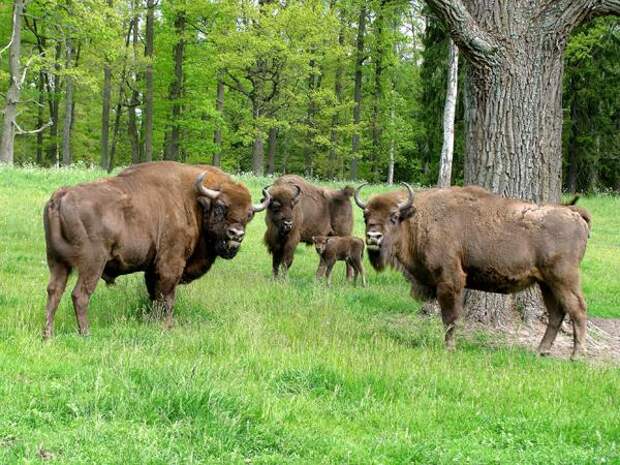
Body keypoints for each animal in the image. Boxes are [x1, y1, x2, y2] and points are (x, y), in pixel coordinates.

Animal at [41, 161, 268, 336]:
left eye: (249, 214)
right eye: (221, 207)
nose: (236, 234)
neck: (194, 202)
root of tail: (61, 195)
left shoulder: (152, 268)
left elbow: (154, 296)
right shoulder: (170, 264)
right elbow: (166, 298)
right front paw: (167, 326)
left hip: (57, 262)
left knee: (54, 291)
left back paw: (48, 336)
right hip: (92, 264)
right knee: (80, 295)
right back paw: (86, 333)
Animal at [354, 183, 592, 358]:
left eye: (393, 217)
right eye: (366, 216)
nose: (373, 237)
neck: (417, 219)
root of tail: (573, 212)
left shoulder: (450, 280)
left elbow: (450, 317)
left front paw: (449, 348)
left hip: (563, 278)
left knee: (578, 309)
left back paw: (576, 355)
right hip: (546, 283)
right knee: (557, 314)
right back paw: (541, 351)